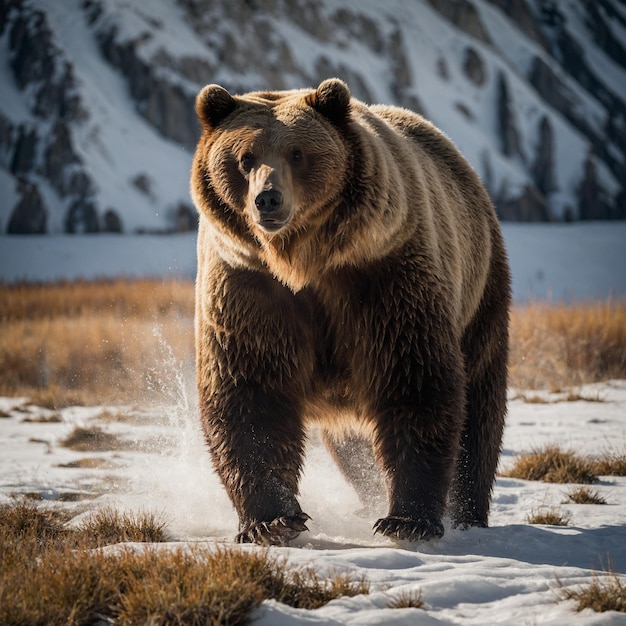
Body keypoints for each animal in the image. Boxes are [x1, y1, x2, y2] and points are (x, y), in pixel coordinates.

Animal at [193, 78, 510, 544]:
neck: (302, 261)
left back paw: (468, 510)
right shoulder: (248, 284)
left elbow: (414, 378)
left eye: (297, 153)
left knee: (480, 406)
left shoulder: (383, 273)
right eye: (244, 158)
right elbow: (251, 392)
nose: (268, 200)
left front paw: (407, 519)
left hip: (480, 287)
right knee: (351, 444)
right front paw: (273, 521)